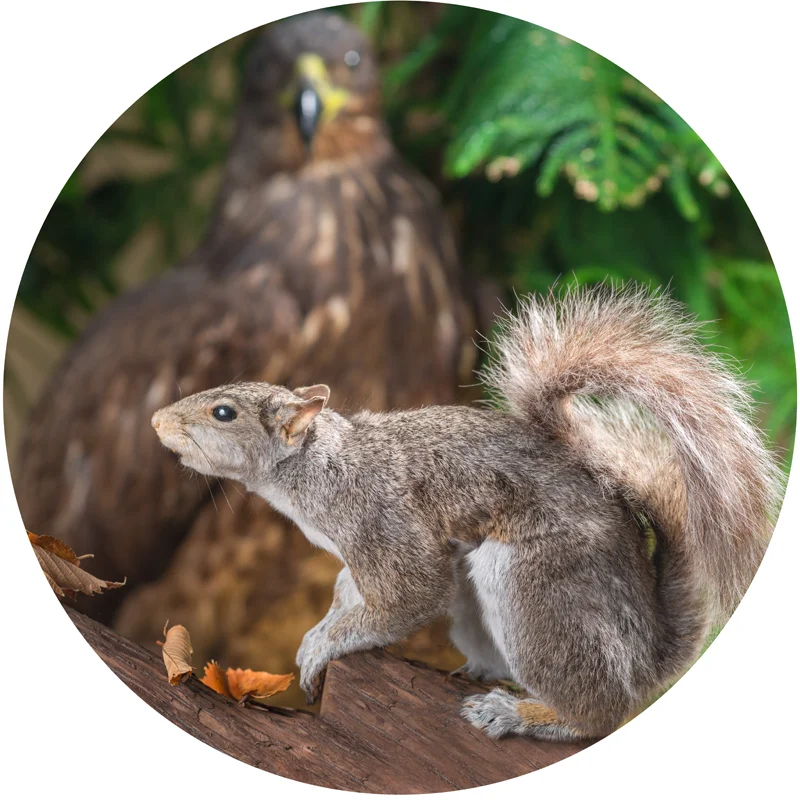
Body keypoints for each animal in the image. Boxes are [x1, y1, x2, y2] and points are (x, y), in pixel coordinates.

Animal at [151, 283, 783, 741]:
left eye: (224, 411)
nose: (156, 421)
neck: (317, 468)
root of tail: (646, 656)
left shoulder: (381, 519)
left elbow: (407, 593)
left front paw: (326, 645)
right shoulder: (355, 557)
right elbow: (346, 590)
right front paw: (322, 626)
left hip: (536, 588)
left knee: (598, 715)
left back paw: (525, 715)